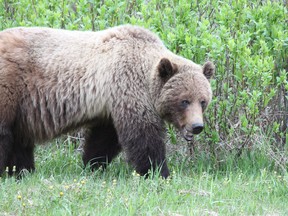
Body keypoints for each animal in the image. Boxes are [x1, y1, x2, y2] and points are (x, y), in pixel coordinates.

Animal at [0, 24, 214, 177]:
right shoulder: (127, 86)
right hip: (11, 85)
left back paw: (21, 171)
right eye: (184, 101)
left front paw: (92, 165)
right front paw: (158, 172)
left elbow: (104, 139)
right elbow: (144, 136)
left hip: (22, 107)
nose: (197, 126)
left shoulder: (110, 103)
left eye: (203, 101)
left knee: (19, 139)